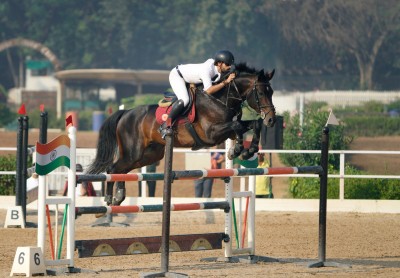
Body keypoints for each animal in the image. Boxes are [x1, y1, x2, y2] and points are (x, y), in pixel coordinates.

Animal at [86, 63, 276, 206]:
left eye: (272, 92)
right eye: (260, 93)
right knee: (113, 169)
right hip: (133, 152)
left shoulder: (226, 131)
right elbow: (237, 125)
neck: (220, 99)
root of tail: (126, 113)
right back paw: (110, 198)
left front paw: (248, 150)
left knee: (123, 170)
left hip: (149, 155)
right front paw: (237, 150)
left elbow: (252, 124)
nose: (271, 119)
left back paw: (119, 196)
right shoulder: (211, 134)